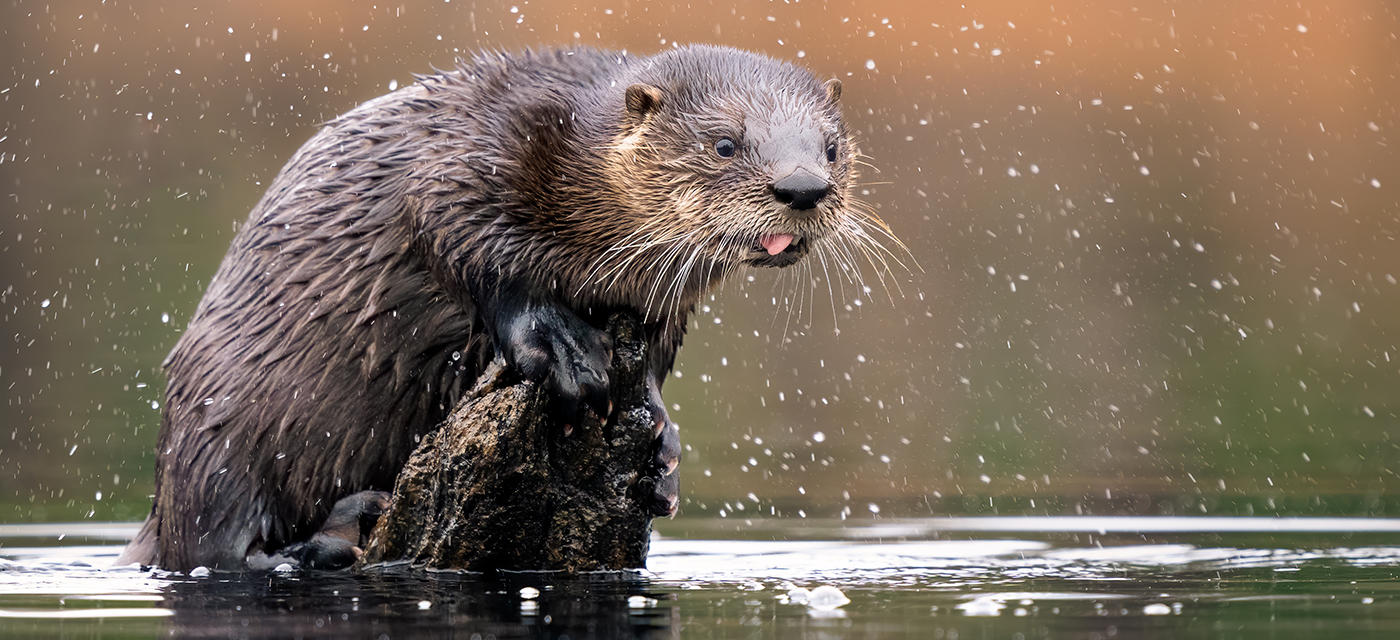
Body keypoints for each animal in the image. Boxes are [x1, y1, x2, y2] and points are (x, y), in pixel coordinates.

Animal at [120, 45, 889, 571]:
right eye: (724, 143)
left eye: (831, 147)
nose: (803, 186)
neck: (577, 167)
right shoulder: (465, 167)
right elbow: (477, 255)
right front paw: (563, 350)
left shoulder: (660, 304)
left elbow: (653, 362)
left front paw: (661, 447)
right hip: (218, 428)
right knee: (212, 542)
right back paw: (317, 543)